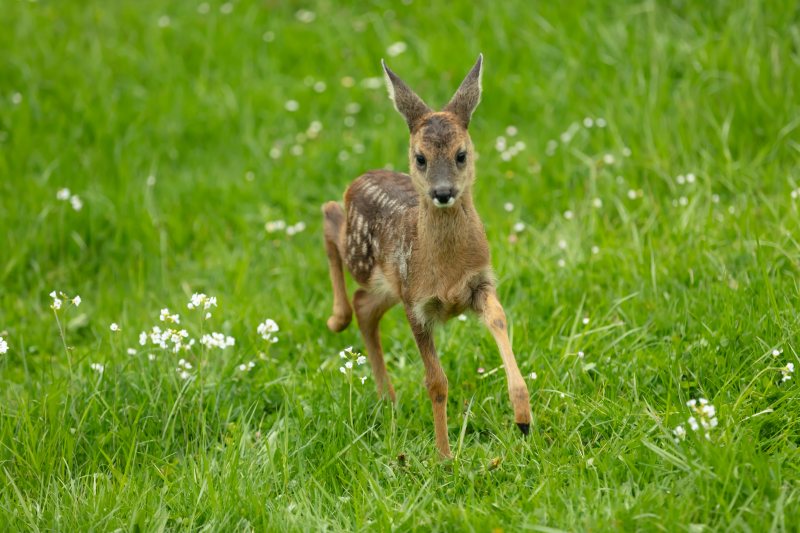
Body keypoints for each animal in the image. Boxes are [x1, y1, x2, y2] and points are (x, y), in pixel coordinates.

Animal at [318, 55, 532, 458]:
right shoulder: (417, 304)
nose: (443, 192)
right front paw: (444, 458)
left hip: (387, 284)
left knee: (365, 306)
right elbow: (436, 382)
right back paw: (336, 320)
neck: (446, 271)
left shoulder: (479, 283)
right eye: (420, 157)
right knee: (328, 213)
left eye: (461, 154)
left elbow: (499, 320)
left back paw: (387, 398)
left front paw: (523, 417)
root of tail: (358, 180)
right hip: (364, 258)